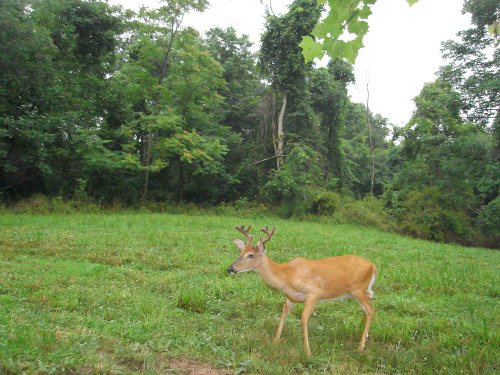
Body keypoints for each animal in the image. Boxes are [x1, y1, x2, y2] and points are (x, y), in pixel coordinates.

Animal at [226, 225, 376, 356]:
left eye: (250, 255)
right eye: (240, 252)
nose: (230, 268)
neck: (286, 276)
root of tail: (373, 266)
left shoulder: (314, 293)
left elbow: (303, 319)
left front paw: (308, 352)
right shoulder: (290, 297)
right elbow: (283, 315)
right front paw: (275, 341)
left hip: (357, 289)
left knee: (370, 309)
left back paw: (360, 347)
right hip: (362, 290)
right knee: (368, 305)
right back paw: (360, 333)